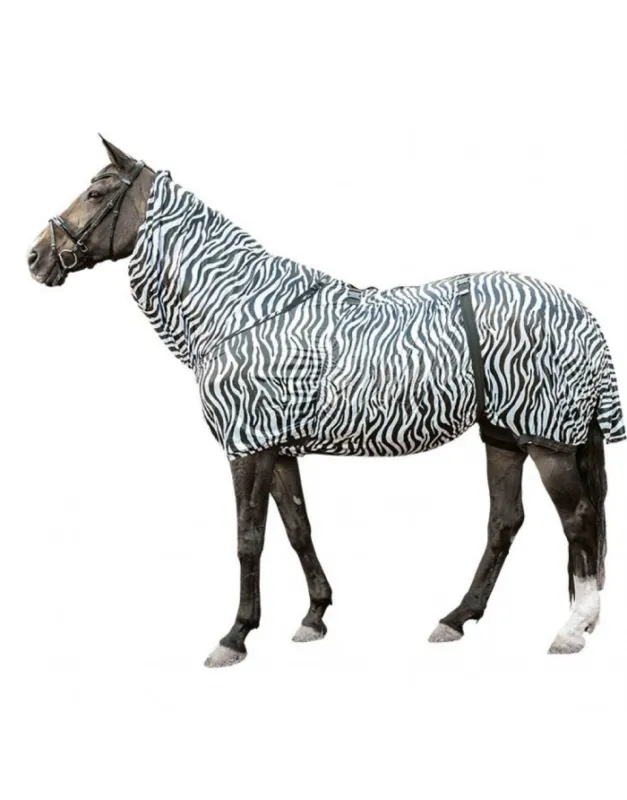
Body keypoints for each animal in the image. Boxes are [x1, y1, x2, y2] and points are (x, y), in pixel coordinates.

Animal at [28, 137, 625, 666]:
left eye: (97, 193)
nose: (35, 257)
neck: (241, 309)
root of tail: (581, 311)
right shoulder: (278, 449)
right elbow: (297, 529)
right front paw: (314, 616)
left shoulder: (247, 448)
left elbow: (249, 538)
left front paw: (235, 636)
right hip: (503, 435)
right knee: (506, 521)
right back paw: (457, 618)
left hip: (545, 440)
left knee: (577, 519)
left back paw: (572, 629)